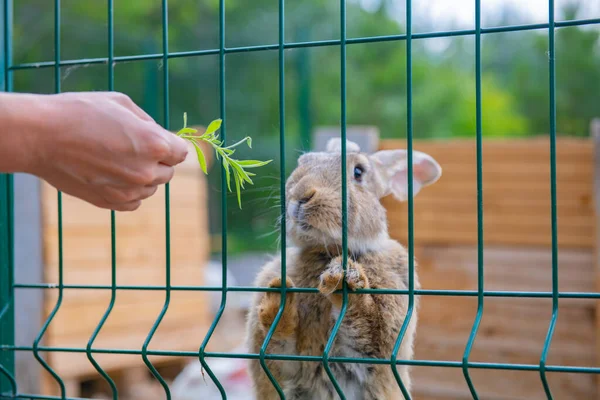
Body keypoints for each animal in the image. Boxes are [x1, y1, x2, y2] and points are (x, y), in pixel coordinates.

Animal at [244, 138, 440, 400]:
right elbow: (280, 344)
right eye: (303, 162)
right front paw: (278, 301)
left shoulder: (377, 346)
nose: (300, 195)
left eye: (358, 172)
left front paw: (343, 278)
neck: (328, 251)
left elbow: (365, 325)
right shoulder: (284, 363)